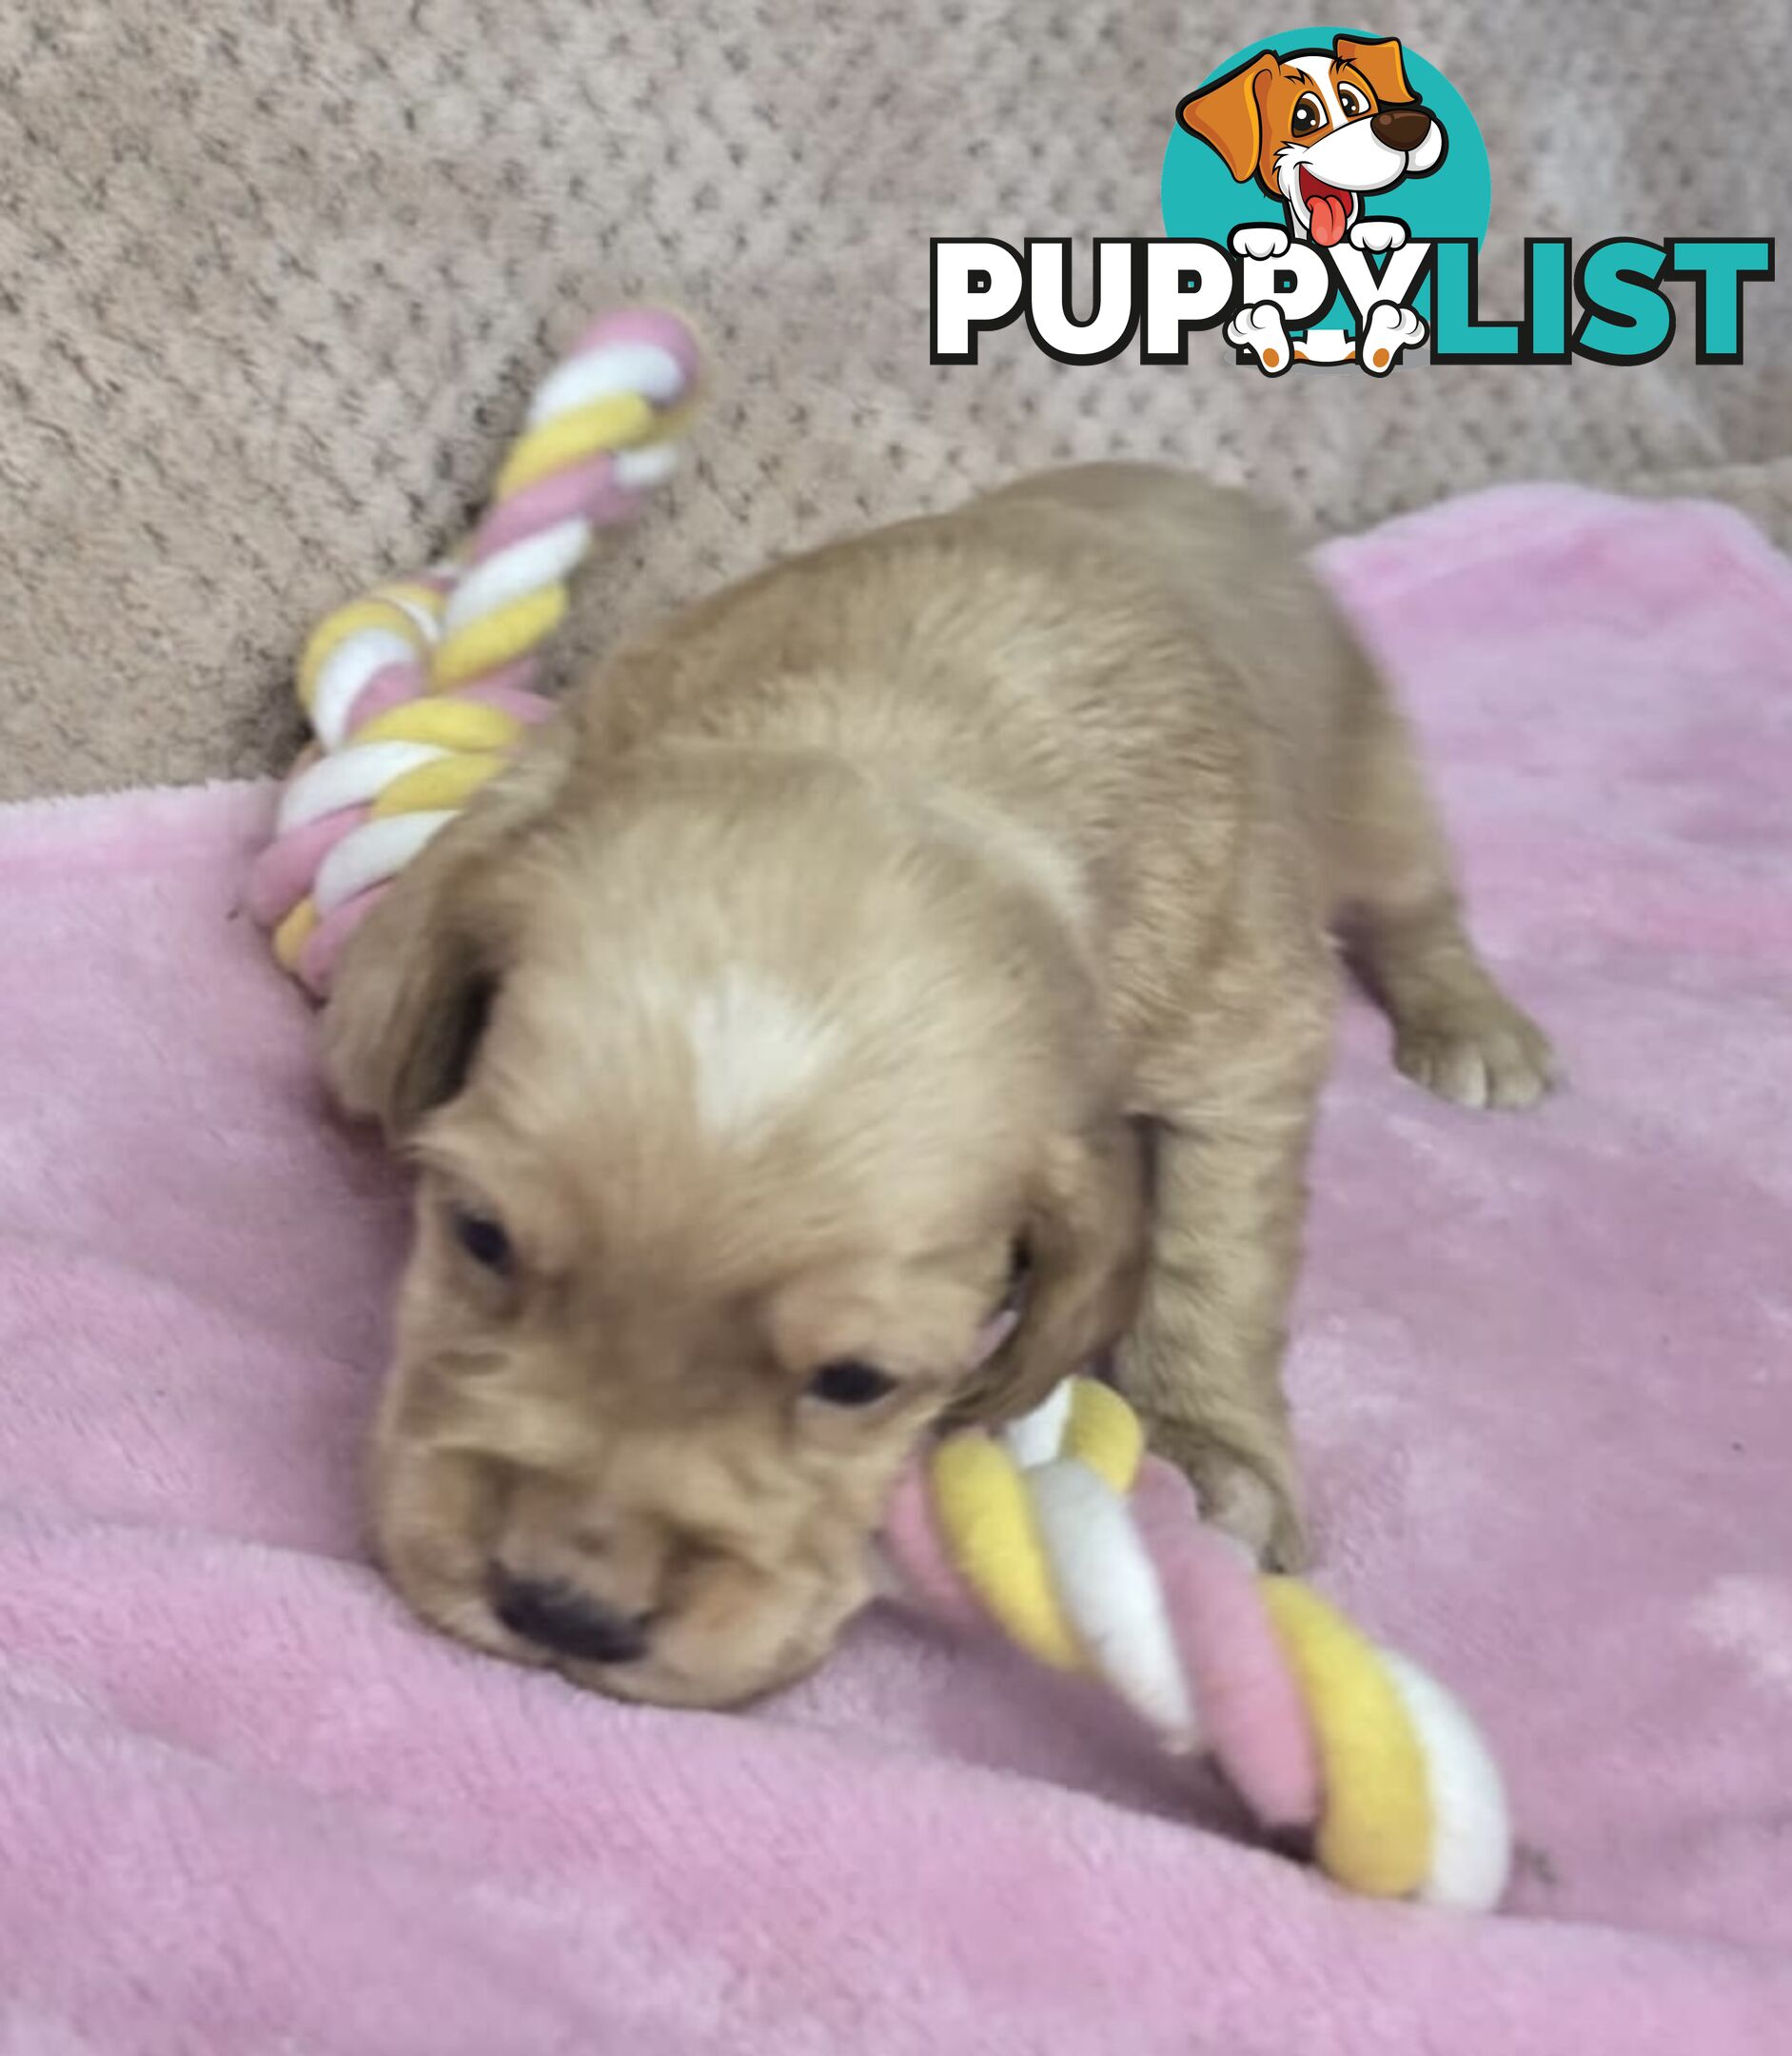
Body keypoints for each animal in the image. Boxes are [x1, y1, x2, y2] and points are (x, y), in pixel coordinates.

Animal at [325, 466, 1553, 1702]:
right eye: (478, 1238)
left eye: (858, 1381)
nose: (560, 1611)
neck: (894, 739)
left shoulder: (1244, 1035)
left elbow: (1213, 1258)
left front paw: (1210, 1451)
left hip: (1373, 786)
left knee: (1417, 904)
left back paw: (1474, 1027)